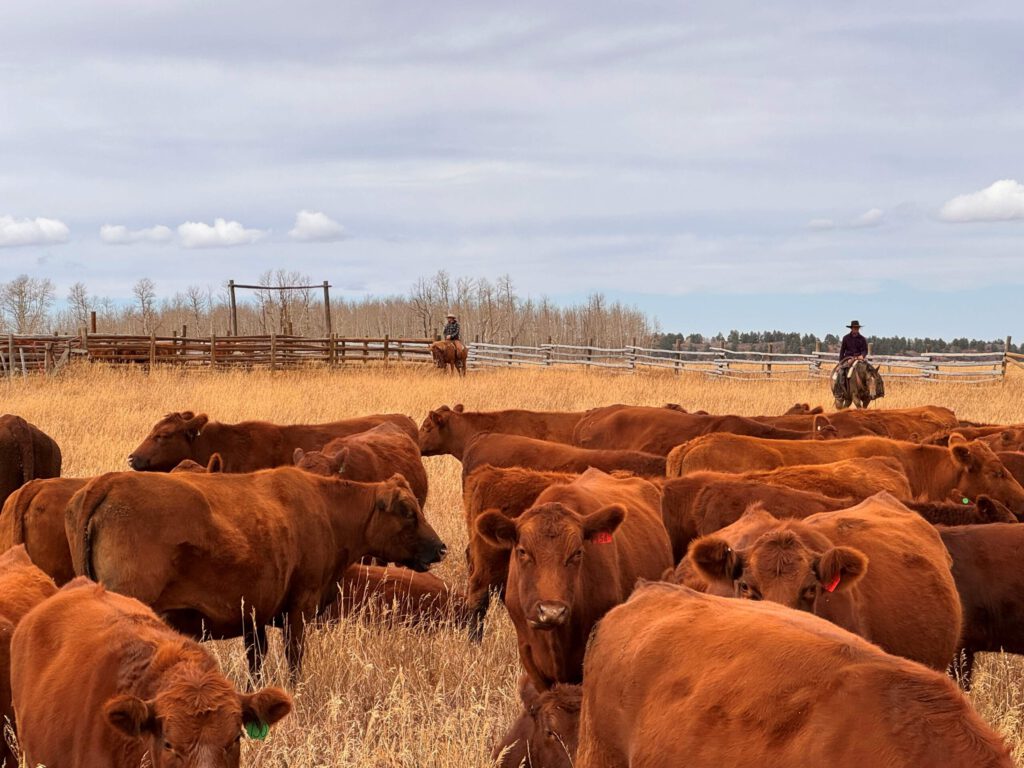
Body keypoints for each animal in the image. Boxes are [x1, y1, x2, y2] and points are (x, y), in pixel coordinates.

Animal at [65, 468, 446, 675]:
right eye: (408, 511)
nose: (440, 547)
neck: (326, 509)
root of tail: (109, 483)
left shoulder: (255, 615)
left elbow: (256, 664)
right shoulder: (300, 608)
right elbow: (293, 660)